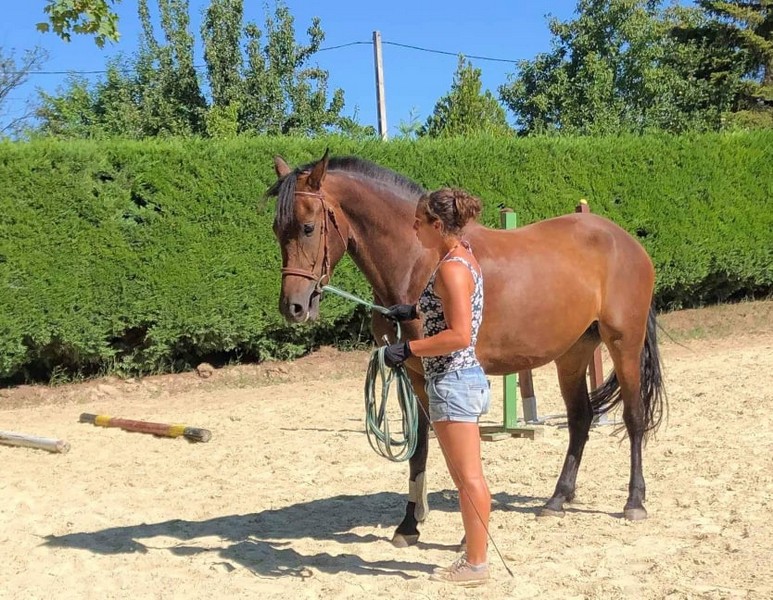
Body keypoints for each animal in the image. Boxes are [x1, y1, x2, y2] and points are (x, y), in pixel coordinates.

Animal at [267, 150, 665, 547]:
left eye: (307, 227)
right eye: (275, 229)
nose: (293, 307)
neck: (420, 261)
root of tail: (625, 240)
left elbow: (460, 452)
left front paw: (466, 535)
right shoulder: (413, 375)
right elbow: (421, 449)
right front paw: (409, 525)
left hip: (623, 344)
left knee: (633, 416)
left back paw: (634, 502)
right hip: (573, 353)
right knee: (580, 418)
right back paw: (557, 499)